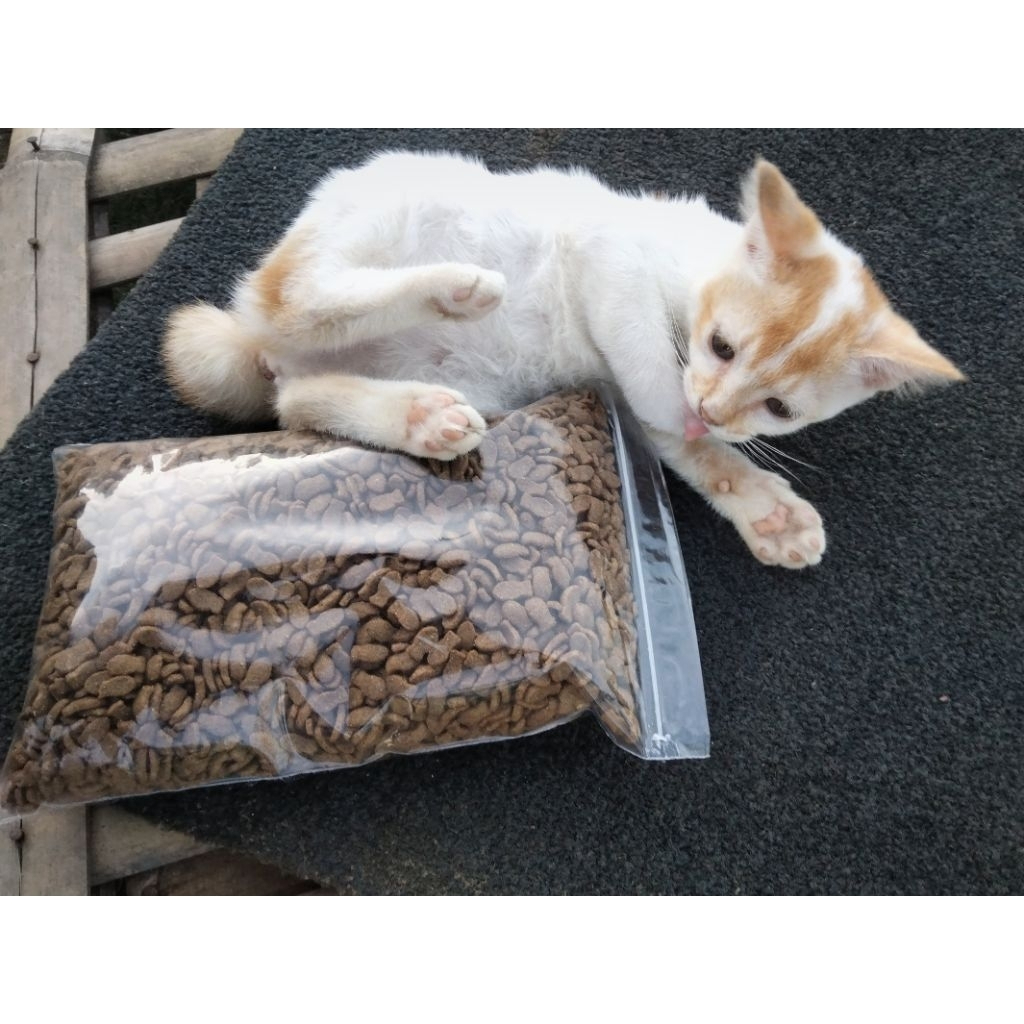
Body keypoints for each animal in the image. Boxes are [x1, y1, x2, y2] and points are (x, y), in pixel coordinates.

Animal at [163, 151, 963, 569]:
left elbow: (692, 450)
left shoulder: (633, 395)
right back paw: (452, 288)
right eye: (723, 345)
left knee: (297, 400)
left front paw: (763, 506)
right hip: (381, 214)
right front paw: (697, 426)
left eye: (779, 408)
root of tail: (258, 343)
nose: (711, 410)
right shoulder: (607, 254)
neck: (691, 270)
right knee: (297, 298)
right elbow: (648, 364)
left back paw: (418, 414)